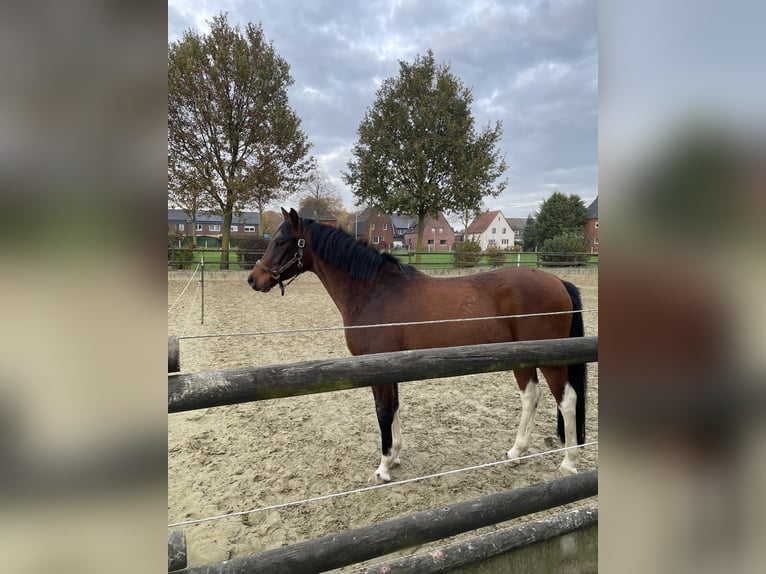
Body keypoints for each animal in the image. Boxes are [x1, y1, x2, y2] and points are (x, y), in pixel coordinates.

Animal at [248, 208, 587, 482]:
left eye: (281, 242)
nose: (254, 279)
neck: (374, 291)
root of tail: (559, 282)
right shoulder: (392, 366)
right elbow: (394, 407)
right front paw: (396, 456)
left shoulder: (378, 366)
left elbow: (383, 411)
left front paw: (383, 467)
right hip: (522, 356)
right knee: (531, 396)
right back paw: (516, 452)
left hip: (551, 359)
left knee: (567, 399)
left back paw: (568, 462)